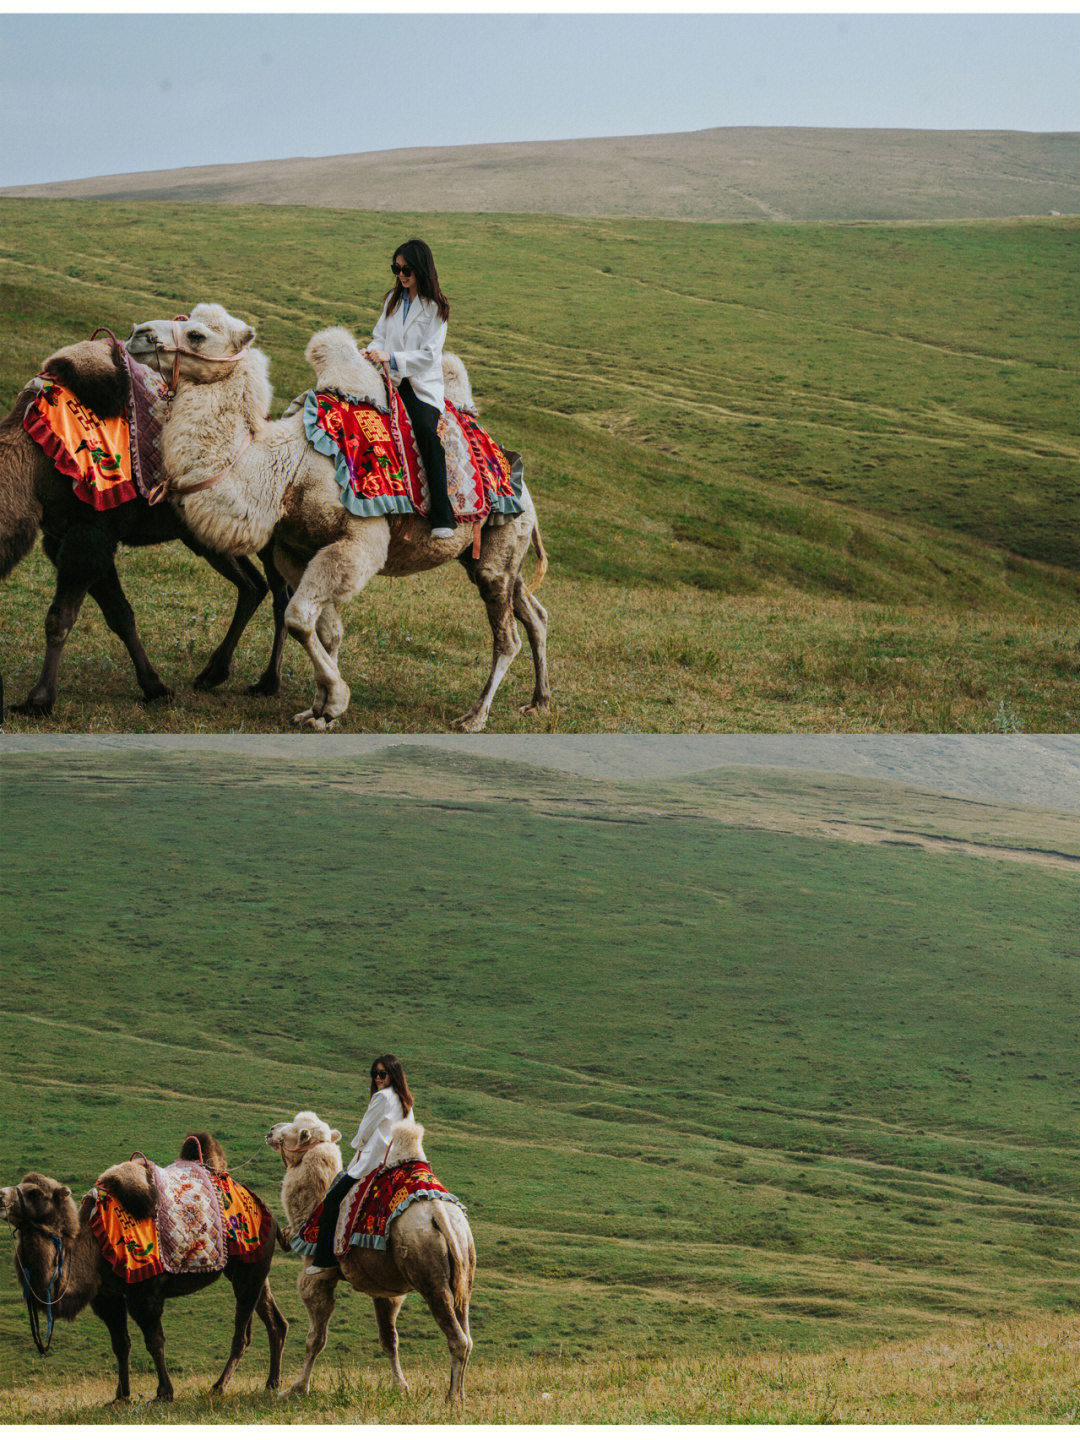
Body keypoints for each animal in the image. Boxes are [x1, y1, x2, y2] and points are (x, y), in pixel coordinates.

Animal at [0, 336, 292, 720]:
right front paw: (155, 687)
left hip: (269, 535)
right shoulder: (63, 539)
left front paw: (38, 700)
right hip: (203, 537)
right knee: (252, 585)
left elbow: (59, 618)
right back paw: (212, 673)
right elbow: (120, 615)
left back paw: (268, 682)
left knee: (281, 596)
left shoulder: (89, 534)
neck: (38, 462)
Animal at [1, 1134, 288, 1393]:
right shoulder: (108, 1296)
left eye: (35, 1193)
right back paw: (272, 1383)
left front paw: (163, 1392)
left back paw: (219, 1387)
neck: (94, 1246)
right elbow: (120, 1345)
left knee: (243, 1335)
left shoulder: (145, 1290)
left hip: (249, 1267)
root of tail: (267, 1213)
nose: (2, 1196)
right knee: (276, 1322)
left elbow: (154, 1342)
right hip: (255, 1268)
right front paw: (121, 1396)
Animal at [126, 303, 550, 731]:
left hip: (498, 553)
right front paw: (317, 711)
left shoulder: (358, 543)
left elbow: (298, 617)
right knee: (535, 614)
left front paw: (335, 701)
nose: (137, 333)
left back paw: (474, 717)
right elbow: (324, 629)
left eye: (197, 335)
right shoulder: (296, 549)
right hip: (487, 556)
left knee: (507, 637)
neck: (289, 468)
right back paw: (539, 702)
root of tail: (518, 478)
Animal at [264, 1105, 472, 1399]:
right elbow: (389, 1340)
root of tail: (439, 1214)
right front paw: (401, 1387)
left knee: (458, 1339)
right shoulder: (386, 1292)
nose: (271, 1130)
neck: (313, 1204)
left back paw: (452, 1398)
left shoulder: (317, 1279)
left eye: (294, 1129)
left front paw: (297, 1388)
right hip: (463, 1273)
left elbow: (315, 1339)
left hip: (431, 1274)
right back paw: (461, 1395)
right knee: (468, 1335)